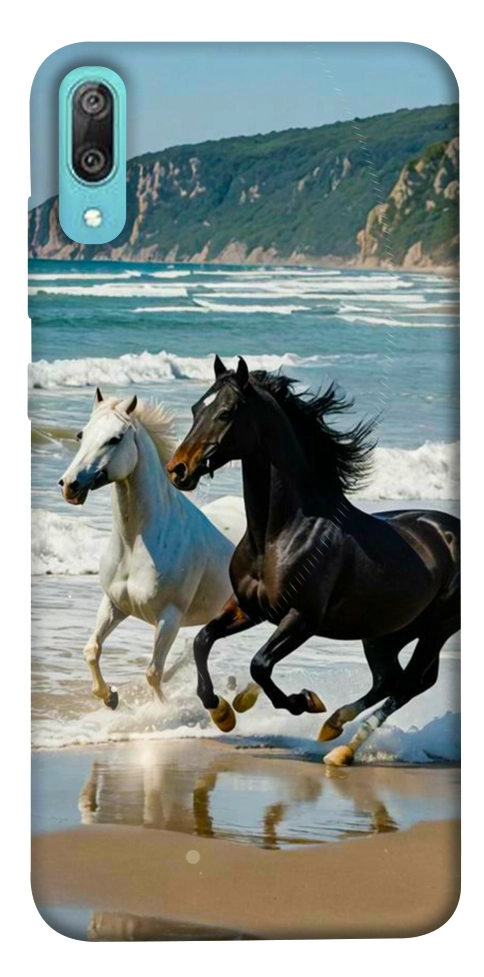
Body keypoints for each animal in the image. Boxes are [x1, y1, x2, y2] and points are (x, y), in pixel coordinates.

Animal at [59, 387, 234, 709]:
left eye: (115, 438)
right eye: (81, 434)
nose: (69, 485)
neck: (135, 544)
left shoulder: (169, 618)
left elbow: (153, 672)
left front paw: (161, 711)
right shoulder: (114, 604)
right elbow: (91, 650)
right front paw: (110, 697)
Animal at [166, 356, 460, 765]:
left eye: (225, 413)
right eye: (196, 409)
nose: (178, 469)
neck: (280, 534)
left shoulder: (302, 618)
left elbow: (260, 664)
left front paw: (303, 701)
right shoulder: (248, 608)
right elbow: (202, 640)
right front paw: (223, 711)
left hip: (436, 628)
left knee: (410, 683)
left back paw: (341, 746)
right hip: (386, 632)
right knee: (390, 679)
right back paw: (334, 729)